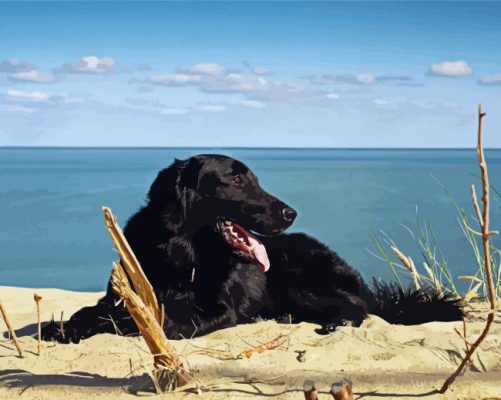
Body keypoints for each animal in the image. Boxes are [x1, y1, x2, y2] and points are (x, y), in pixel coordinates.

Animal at [41, 155, 462, 342]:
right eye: (237, 179)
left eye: (253, 178)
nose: (292, 212)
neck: (184, 255)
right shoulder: (119, 292)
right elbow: (89, 310)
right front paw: (61, 326)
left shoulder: (219, 312)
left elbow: (165, 324)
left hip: (298, 277)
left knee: (360, 307)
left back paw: (335, 322)